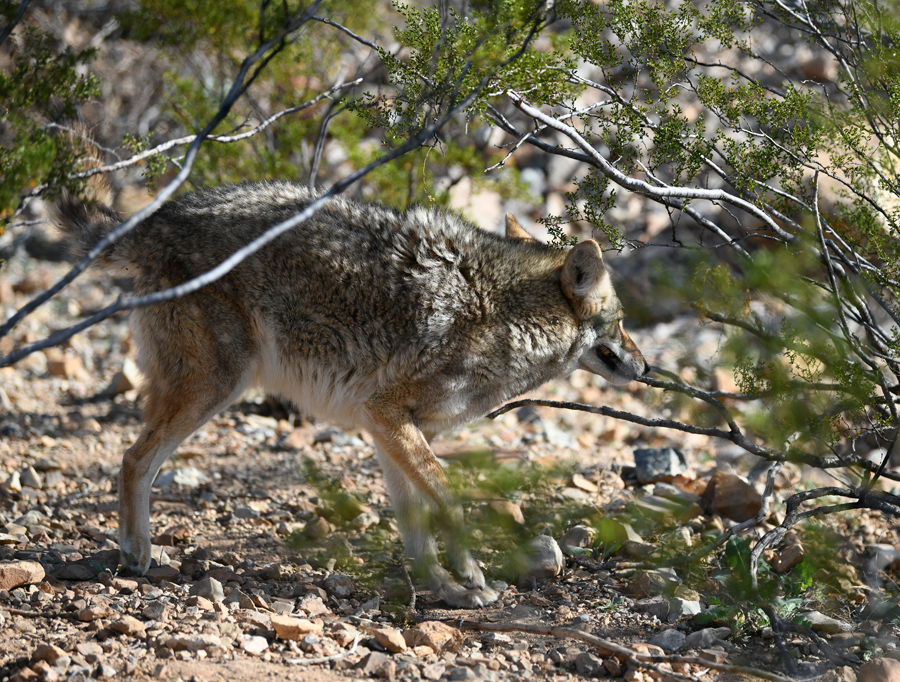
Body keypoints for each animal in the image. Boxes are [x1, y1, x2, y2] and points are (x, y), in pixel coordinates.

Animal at [52, 154, 647, 608]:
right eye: (621, 322)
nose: (646, 368)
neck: (505, 316)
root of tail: (158, 218)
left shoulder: (387, 428)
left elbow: (415, 529)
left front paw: (445, 590)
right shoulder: (388, 413)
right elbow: (449, 502)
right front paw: (471, 576)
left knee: (137, 459)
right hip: (215, 389)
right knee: (134, 460)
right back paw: (136, 555)